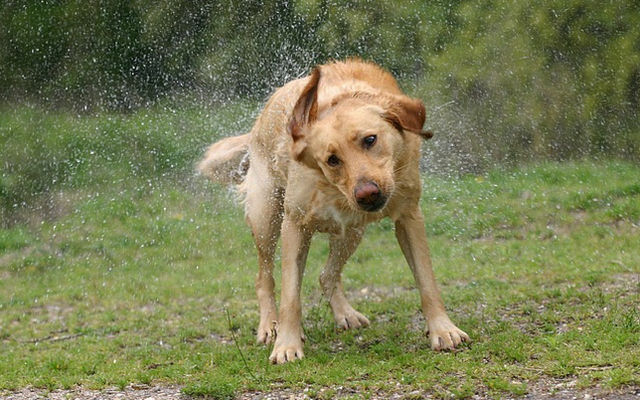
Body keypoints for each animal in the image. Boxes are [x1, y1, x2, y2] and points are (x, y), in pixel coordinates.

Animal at [198, 58, 468, 362]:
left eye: (370, 140)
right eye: (332, 159)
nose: (367, 193)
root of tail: (258, 123)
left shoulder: (409, 216)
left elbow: (427, 281)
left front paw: (443, 329)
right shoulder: (295, 224)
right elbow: (290, 295)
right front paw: (287, 344)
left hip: (352, 232)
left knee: (326, 275)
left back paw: (345, 314)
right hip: (266, 217)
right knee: (264, 277)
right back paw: (270, 325)